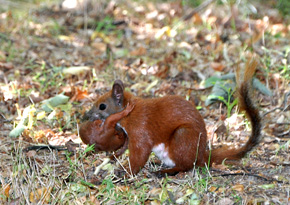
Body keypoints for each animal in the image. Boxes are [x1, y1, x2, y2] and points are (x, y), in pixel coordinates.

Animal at [87, 59, 262, 176]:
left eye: (102, 106)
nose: (86, 115)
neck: (130, 112)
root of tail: (201, 155)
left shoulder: (140, 130)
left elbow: (140, 154)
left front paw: (126, 172)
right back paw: (158, 163)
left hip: (182, 136)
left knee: (186, 165)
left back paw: (165, 171)